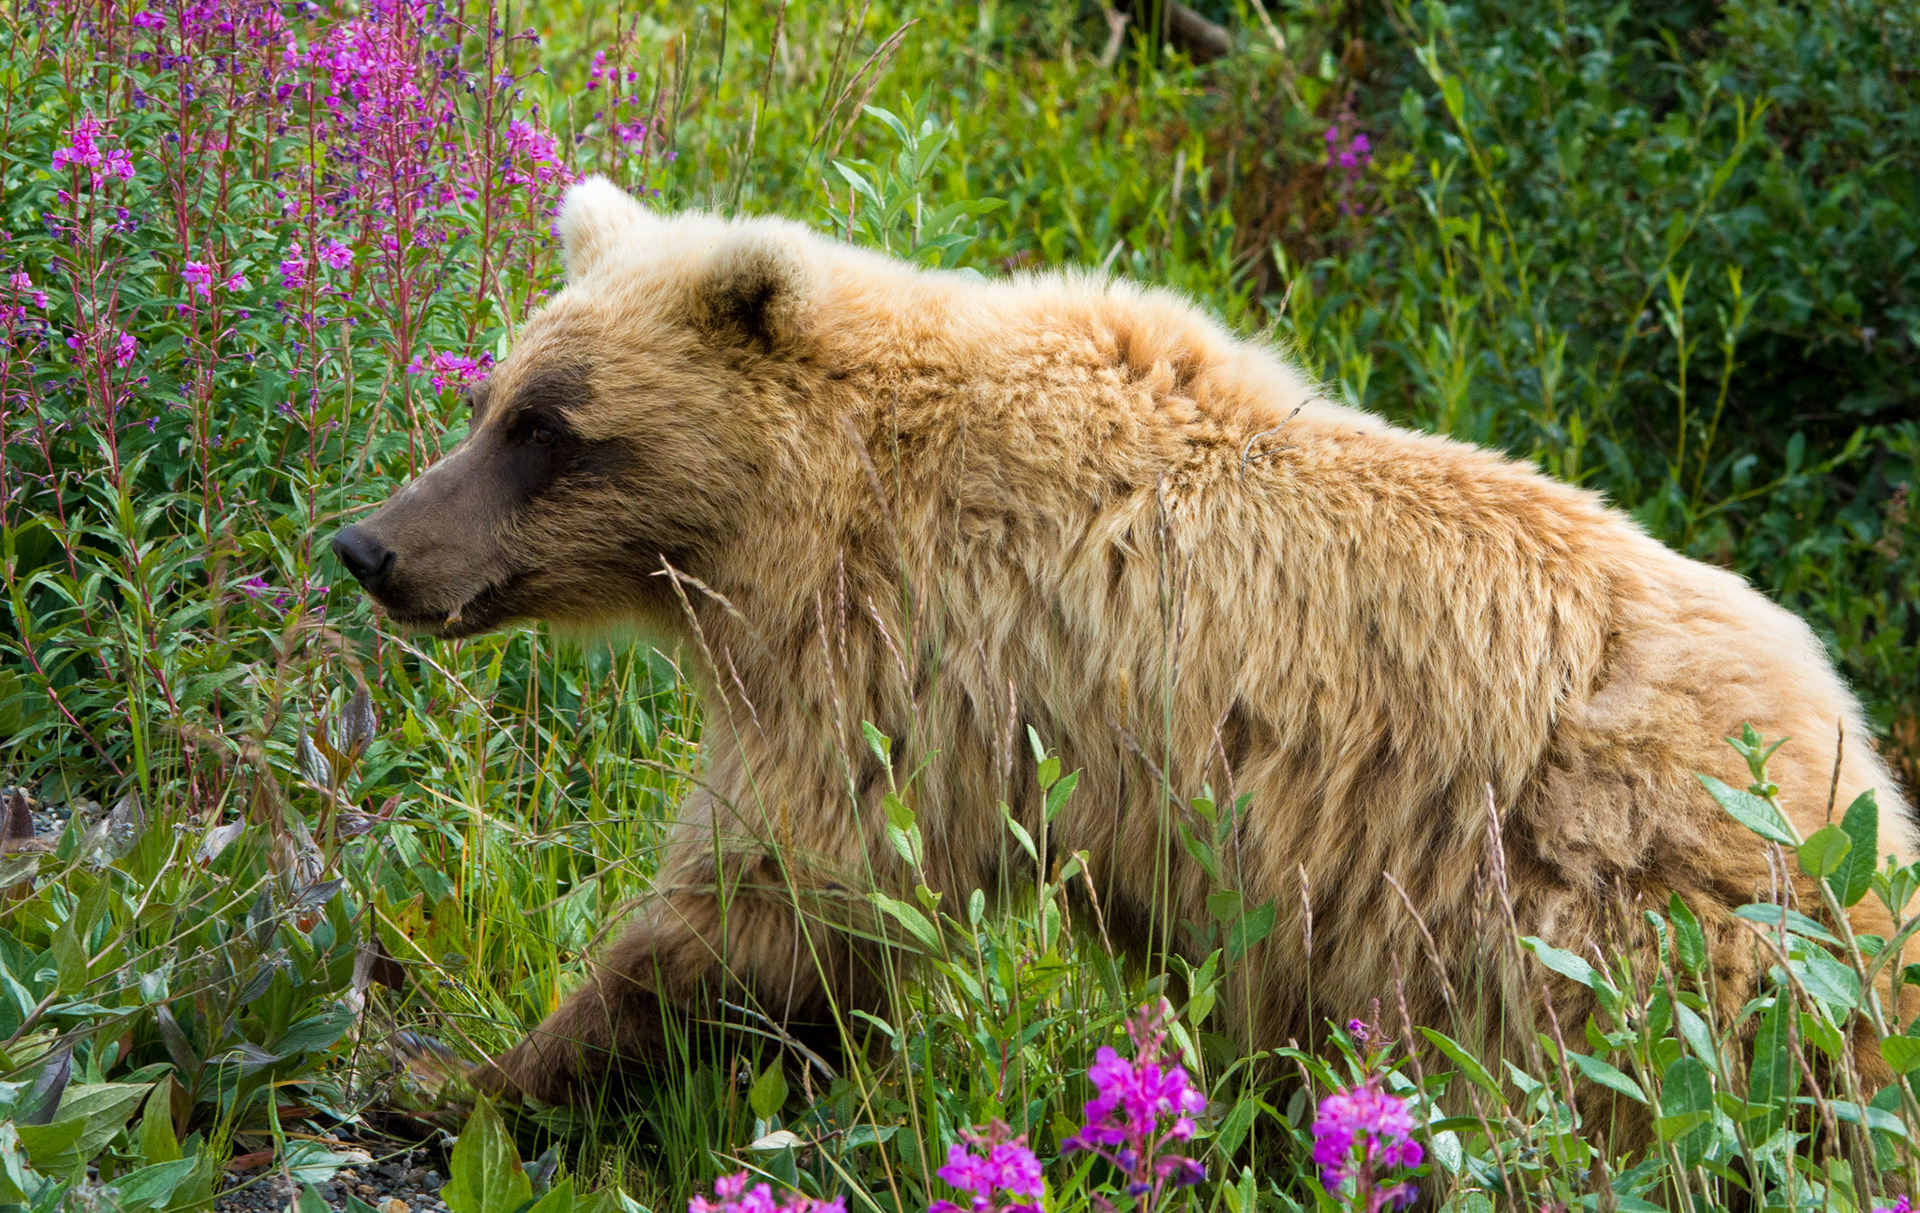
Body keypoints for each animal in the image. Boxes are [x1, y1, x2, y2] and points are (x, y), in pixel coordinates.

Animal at [333, 175, 1915, 1140]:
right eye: (493, 397)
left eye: (548, 426)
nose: (372, 546)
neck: (807, 524)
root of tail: (1857, 779)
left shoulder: (920, 668)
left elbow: (771, 910)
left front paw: (463, 1081)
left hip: (1596, 927)